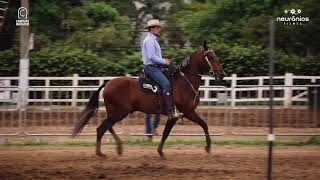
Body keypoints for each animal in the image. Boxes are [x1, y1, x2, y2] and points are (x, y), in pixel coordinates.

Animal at [72, 41, 225, 158]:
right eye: (210, 57)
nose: (222, 74)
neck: (184, 82)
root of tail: (108, 83)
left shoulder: (180, 114)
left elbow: (169, 132)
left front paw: (160, 151)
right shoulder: (186, 112)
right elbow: (201, 125)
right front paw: (208, 147)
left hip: (116, 113)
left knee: (106, 127)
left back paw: (116, 148)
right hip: (119, 112)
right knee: (102, 128)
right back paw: (103, 152)